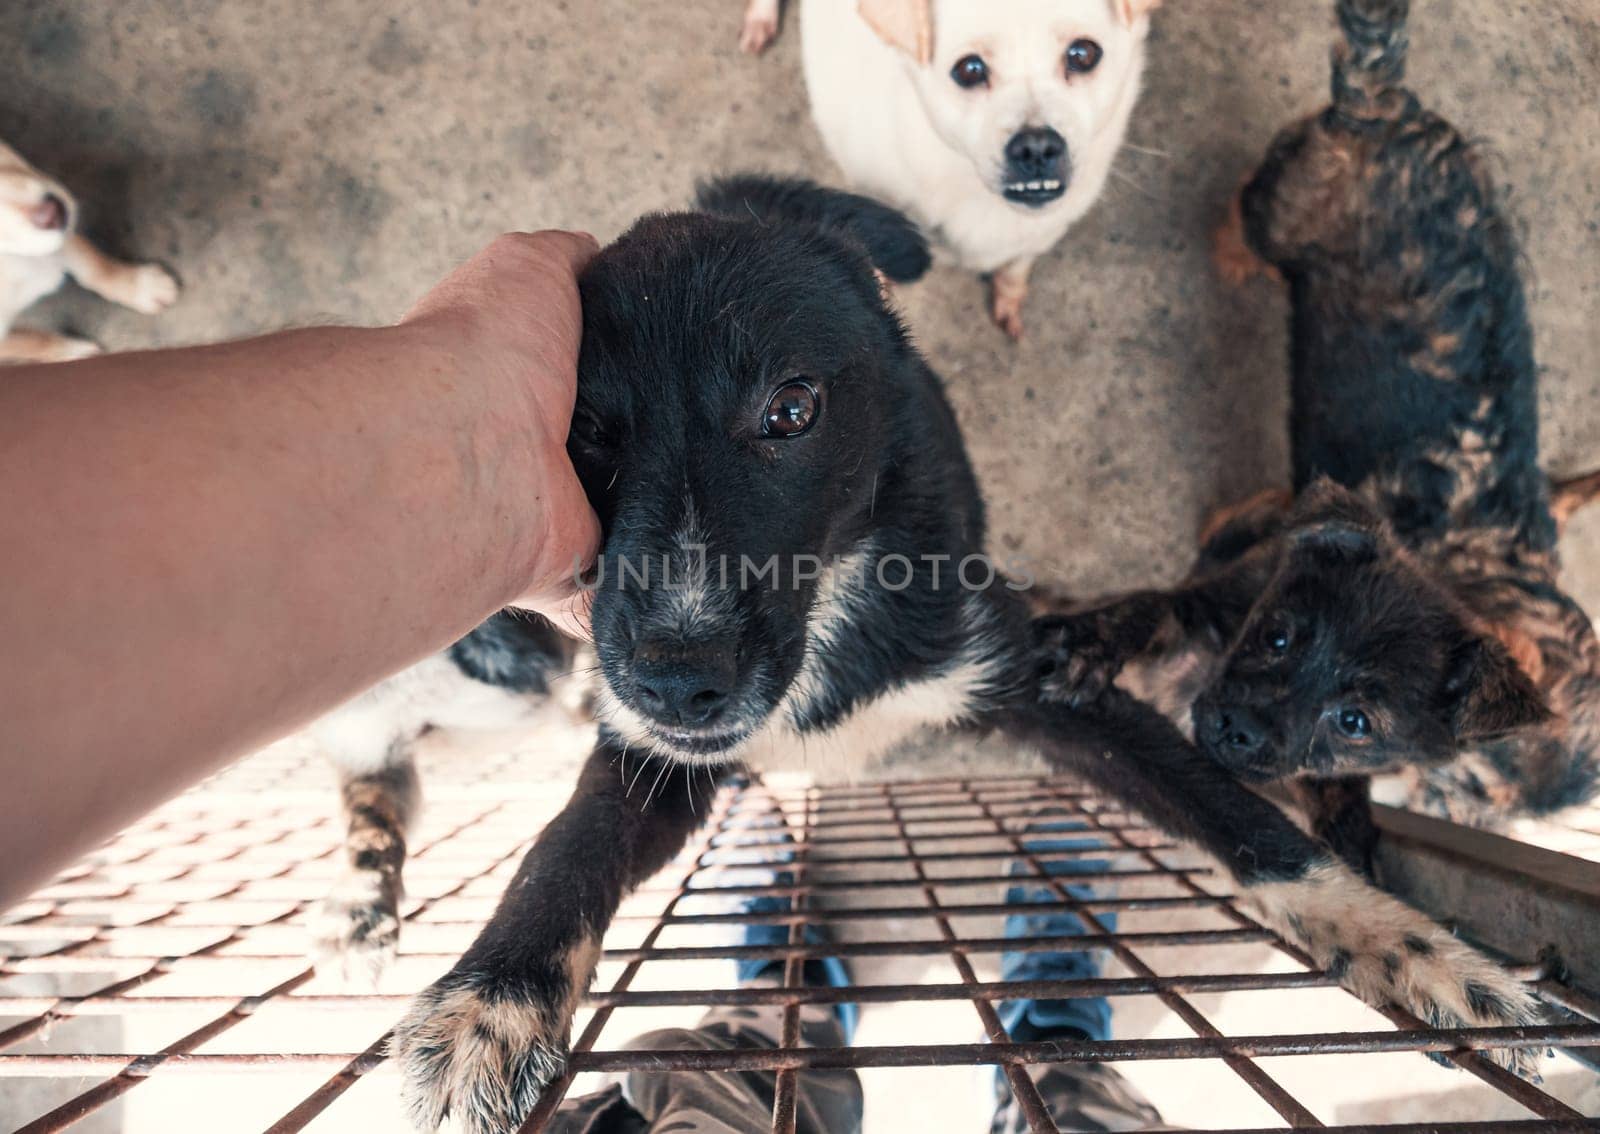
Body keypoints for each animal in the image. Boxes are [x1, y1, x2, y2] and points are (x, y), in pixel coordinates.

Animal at [736, 0, 1164, 335]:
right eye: (969, 70)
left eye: (1083, 54)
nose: (1037, 147)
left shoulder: (1043, 230)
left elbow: (1018, 265)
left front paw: (1009, 297)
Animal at [1030, 0, 1593, 870]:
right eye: (1470, 785)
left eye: (1359, 726)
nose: (1235, 728)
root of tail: (1386, 105)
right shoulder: (1226, 579)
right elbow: (1149, 603)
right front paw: (1094, 643)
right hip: (1282, 211)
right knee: (1240, 210)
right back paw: (1235, 259)